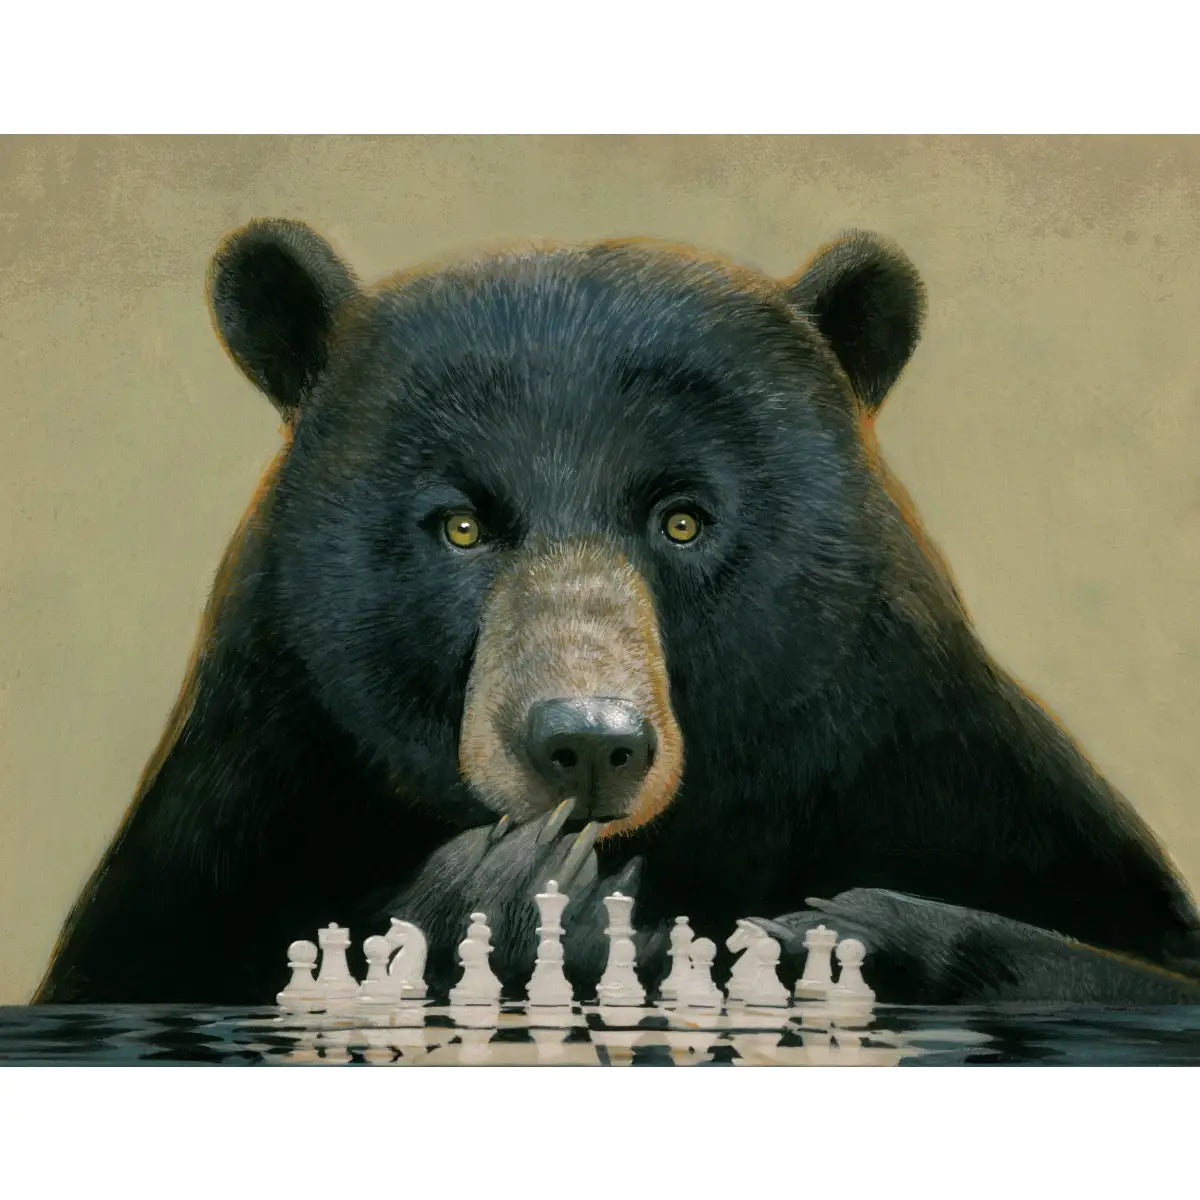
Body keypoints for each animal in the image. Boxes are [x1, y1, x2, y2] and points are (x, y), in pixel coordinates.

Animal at [34, 218, 1200, 1008]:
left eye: (682, 520)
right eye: (463, 525)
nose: (587, 745)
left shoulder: (945, 771)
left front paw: (835, 927)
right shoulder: (244, 806)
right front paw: (528, 893)